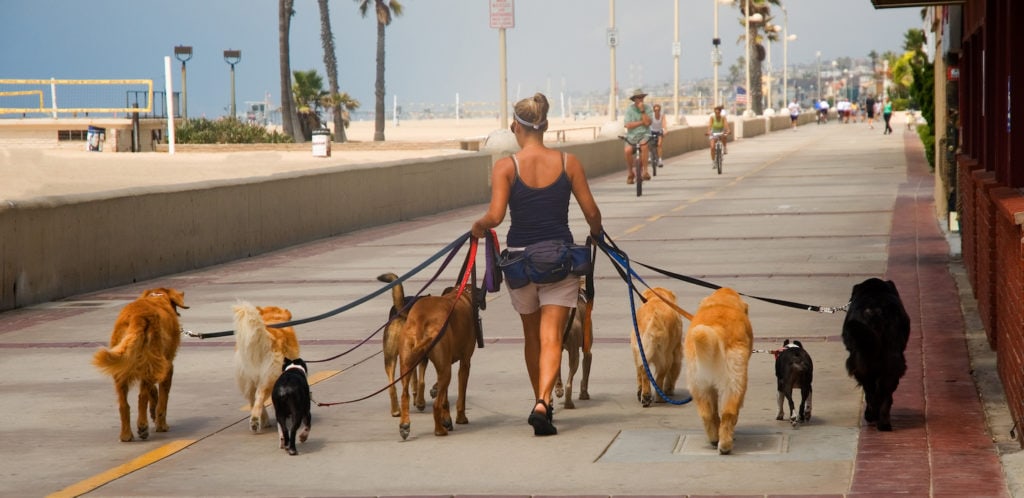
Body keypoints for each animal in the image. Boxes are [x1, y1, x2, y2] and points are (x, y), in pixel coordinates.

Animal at [236, 301, 303, 434]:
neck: (273, 319)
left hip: (248, 379)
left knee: (252, 399)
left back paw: (261, 420)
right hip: (270, 377)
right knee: (259, 396)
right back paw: (256, 421)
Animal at [380, 272, 428, 416]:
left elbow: (414, 379)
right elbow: (419, 380)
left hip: (390, 358)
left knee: (392, 385)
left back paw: (396, 410)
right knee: (420, 381)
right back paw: (420, 403)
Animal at [397, 284, 481, 440]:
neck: (460, 294)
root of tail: (421, 318)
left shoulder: (445, 363)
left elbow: (445, 400)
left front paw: (447, 419)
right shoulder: (464, 363)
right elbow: (461, 396)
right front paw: (460, 418)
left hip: (407, 365)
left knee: (405, 395)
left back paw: (405, 425)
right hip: (446, 371)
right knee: (436, 405)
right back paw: (439, 431)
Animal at [688, 286, 753, 454]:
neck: (721, 302)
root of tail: (716, 328)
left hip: (699, 385)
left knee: (707, 414)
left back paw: (714, 438)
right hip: (735, 383)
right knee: (729, 413)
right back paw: (725, 445)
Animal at [839, 278, 913, 430]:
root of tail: (875, 312)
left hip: (862, 363)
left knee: (873, 392)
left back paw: (873, 416)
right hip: (891, 361)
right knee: (884, 393)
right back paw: (883, 422)